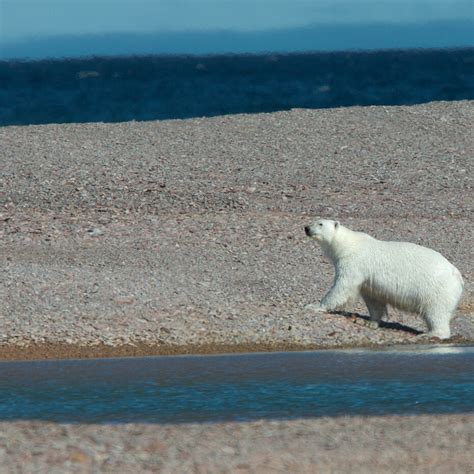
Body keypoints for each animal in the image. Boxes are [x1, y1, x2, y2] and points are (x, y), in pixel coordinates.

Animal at [304, 220, 462, 338]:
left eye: (320, 223)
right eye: (313, 220)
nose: (306, 228)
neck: (348, 245)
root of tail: (458, 276)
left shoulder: (354, 262)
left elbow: (342, 287)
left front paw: (313, 306)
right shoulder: (368, 280)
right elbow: (373, 299)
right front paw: (368, 322)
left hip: (437, 289)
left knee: (436, 312)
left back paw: (432, 334)